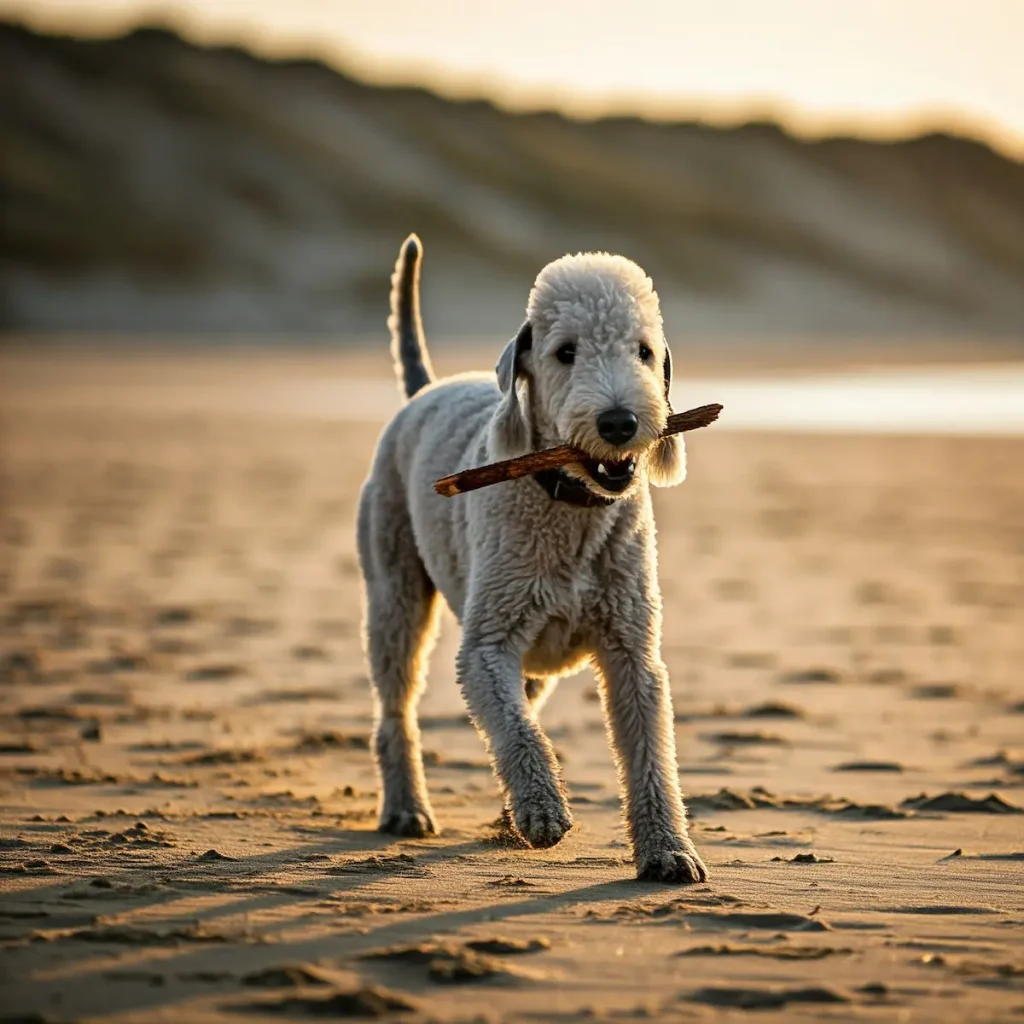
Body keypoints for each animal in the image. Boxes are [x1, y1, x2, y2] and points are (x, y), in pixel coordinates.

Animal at [356, 235, 708, 884]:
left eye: (644, 352)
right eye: (564, 352)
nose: (619, 422)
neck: (571, 504)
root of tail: (425, 390)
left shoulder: (633, 650)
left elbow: (650, 755)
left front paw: (669, 851)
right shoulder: (486, 646)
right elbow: (516, 730)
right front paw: (543, 812)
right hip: (394, 589)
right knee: (397, 706)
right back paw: (407, 808)